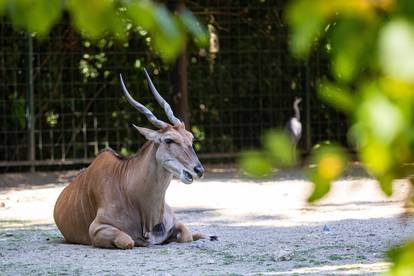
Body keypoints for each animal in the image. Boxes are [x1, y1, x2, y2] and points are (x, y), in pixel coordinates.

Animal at [53, 68, 213, 248]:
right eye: (168, 140)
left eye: (191, 138)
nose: (198, 170)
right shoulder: (97, 228)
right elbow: (128, 241)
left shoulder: (175, 223)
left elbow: (186, 235)